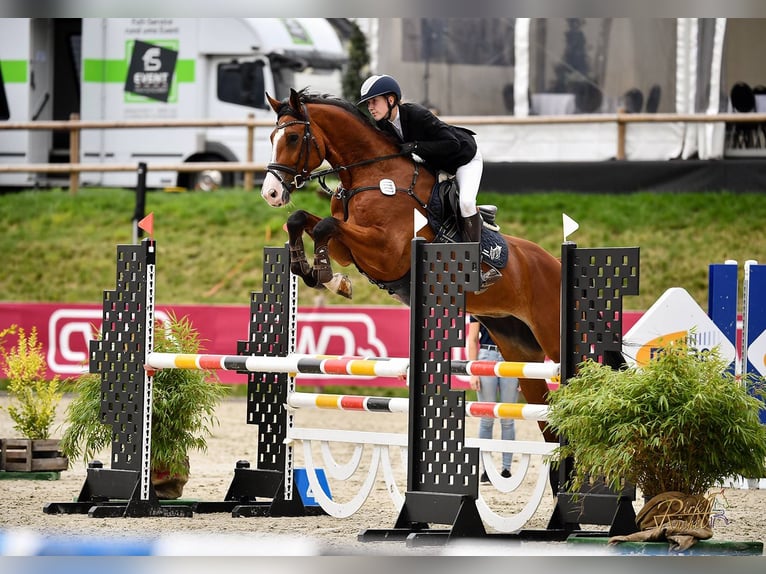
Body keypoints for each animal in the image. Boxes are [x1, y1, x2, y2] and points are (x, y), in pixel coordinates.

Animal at [260, 90, 560, 444]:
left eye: (293, 137)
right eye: (272, 137)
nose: (271, 193)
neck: (373, 176)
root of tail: (554, 262)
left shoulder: (386, 251)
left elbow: (325, 226)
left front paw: (323, 275)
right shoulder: (347, 249)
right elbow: (304, 220)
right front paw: (320, 274)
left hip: (551, 335)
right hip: (517, 345)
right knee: (548, 420)